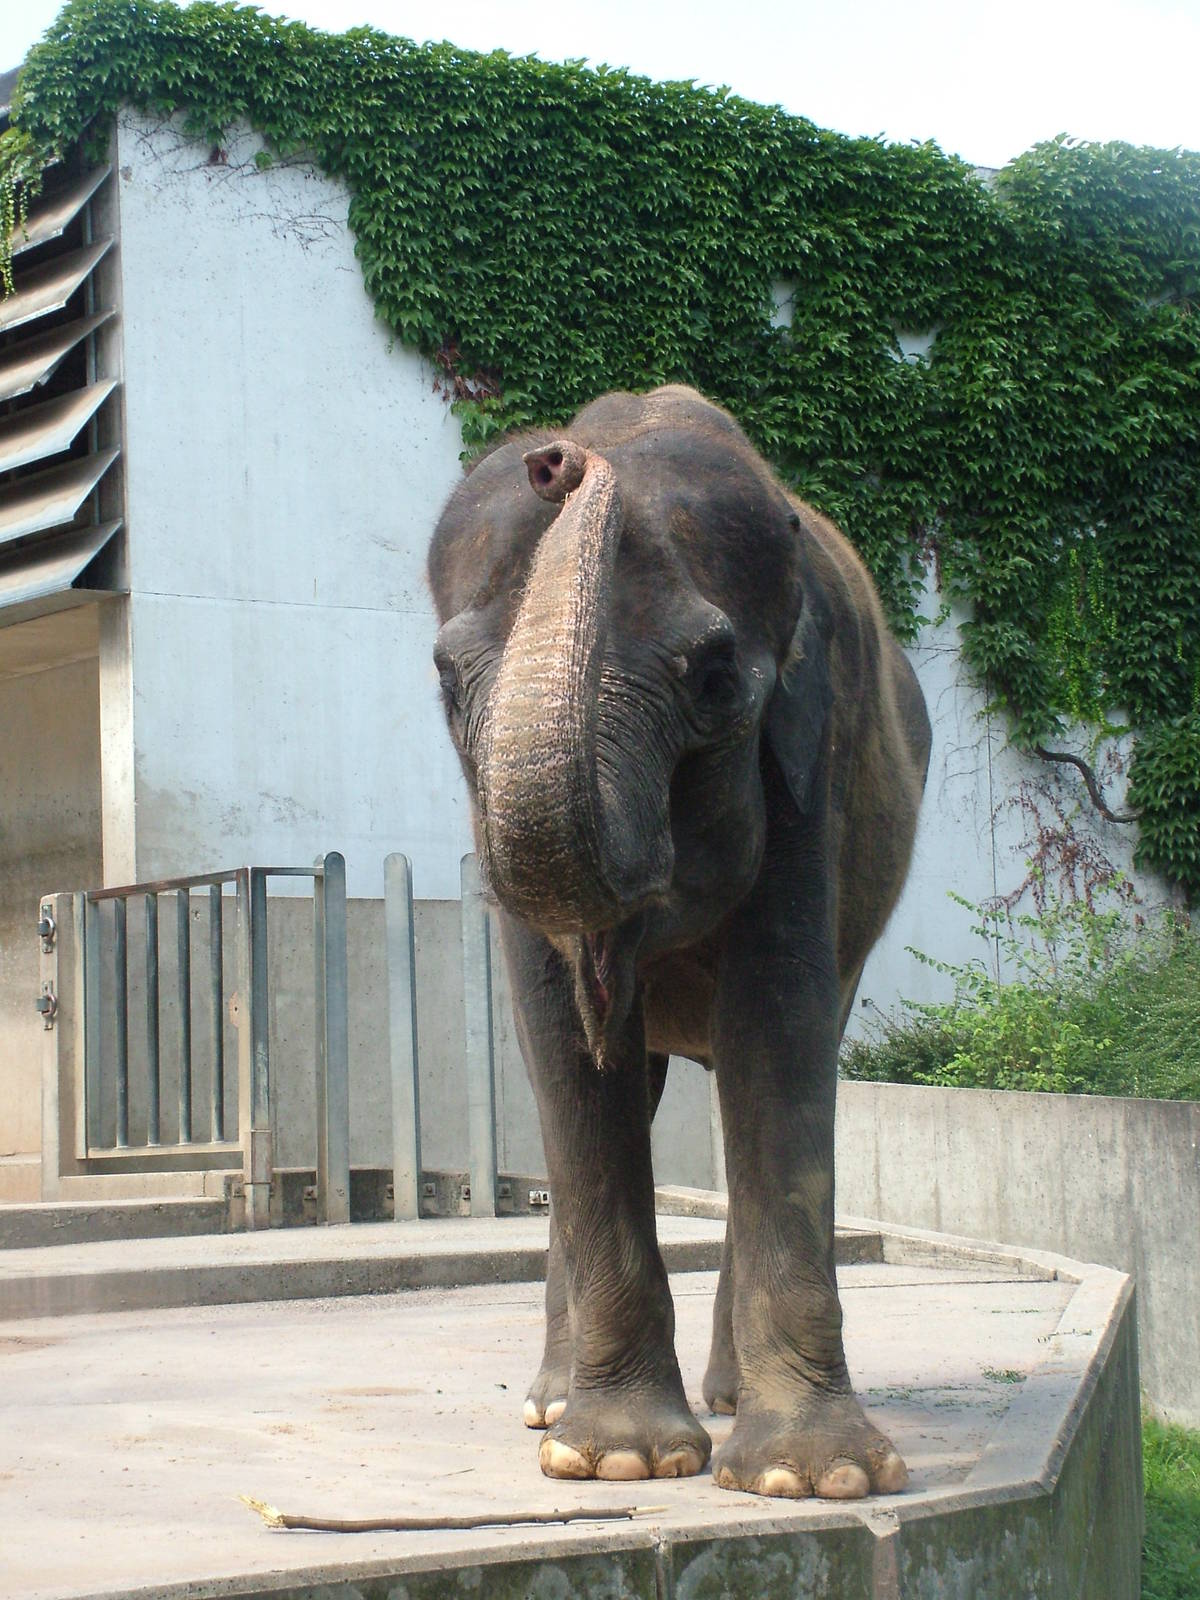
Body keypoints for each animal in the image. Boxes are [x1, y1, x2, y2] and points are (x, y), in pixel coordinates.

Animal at [428, 384, 930, 1498]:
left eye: (713, 675)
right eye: (445, 678)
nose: (561, 462)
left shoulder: (811, 755)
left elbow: (777, 1029)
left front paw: (817, 1479)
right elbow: (567, 1060)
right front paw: (617, 1461)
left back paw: (733, 1400)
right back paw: (551, 1405)